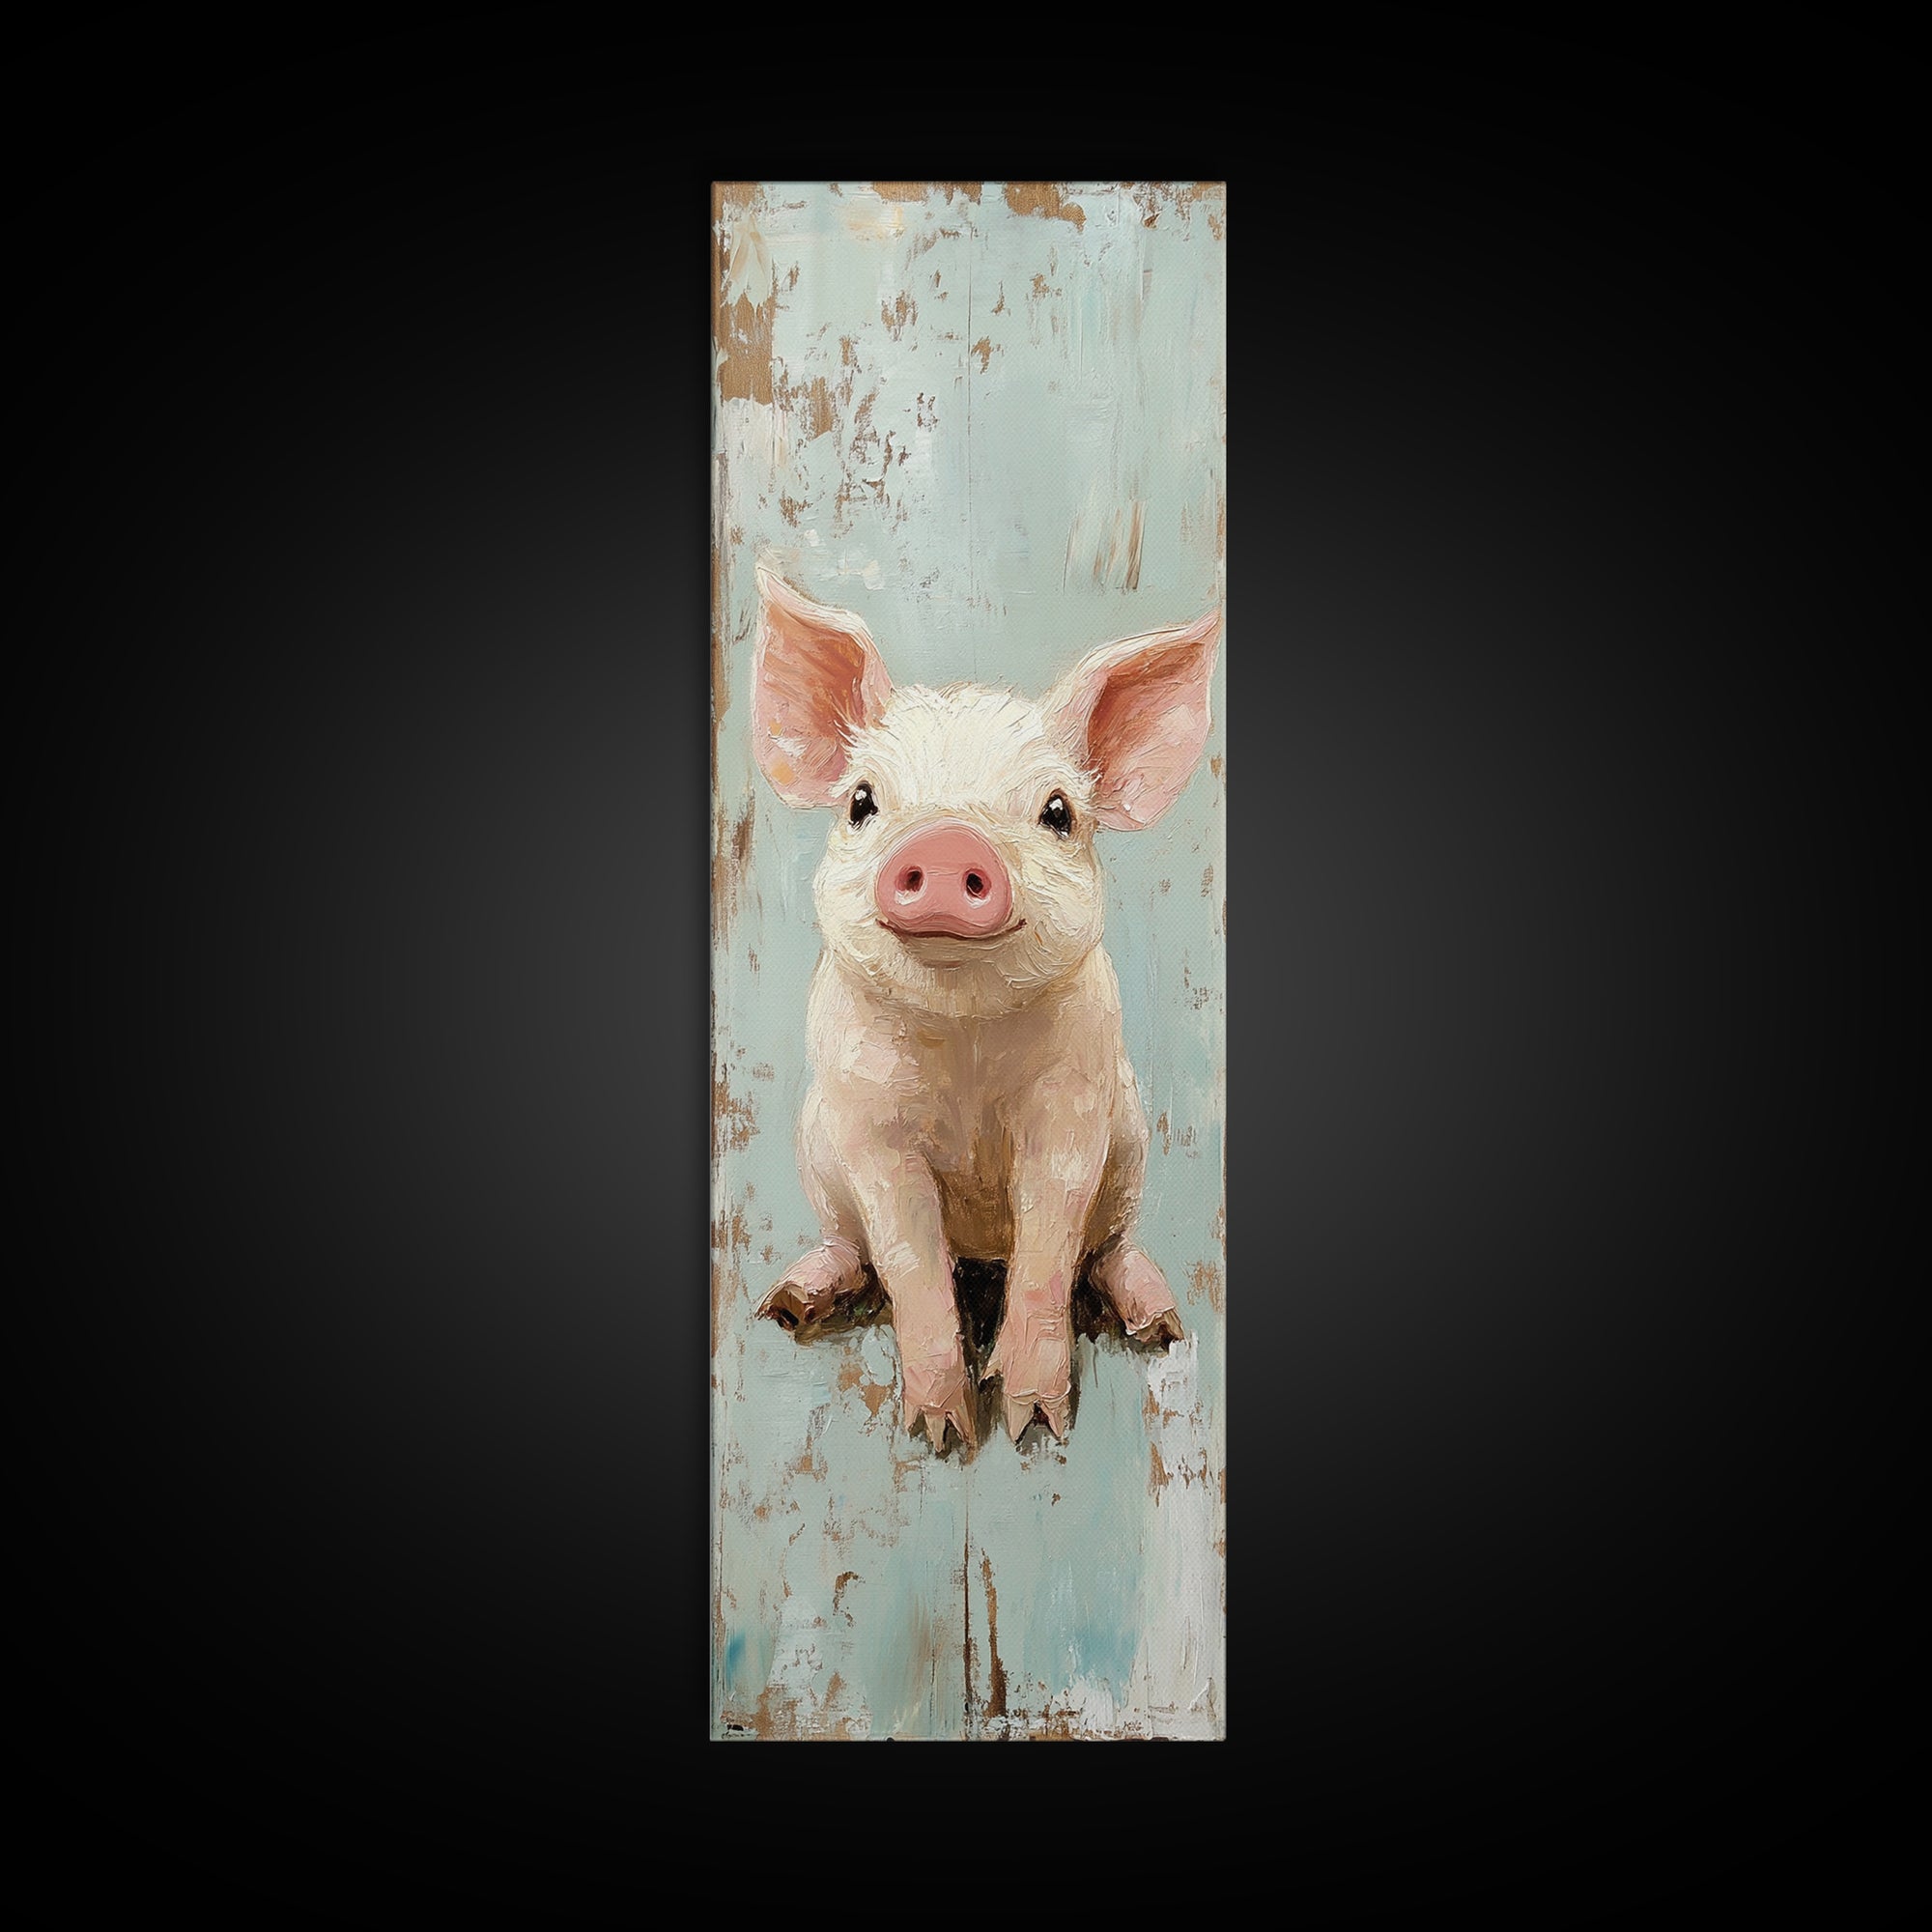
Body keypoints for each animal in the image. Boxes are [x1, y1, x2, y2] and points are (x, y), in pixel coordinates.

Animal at [750, 563, 1221, 1450]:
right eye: (862, 801)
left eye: (1058, 812)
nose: (945, 845)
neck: (961, 1035)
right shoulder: (869, 1125)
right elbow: (908, 1260)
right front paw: (942, 1435)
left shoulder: (1073, 1111)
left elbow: (1048, 1247)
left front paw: (1036, 1426)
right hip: (816, 1147)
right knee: (850, 1245)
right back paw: (789, 1304)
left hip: (1131, 1140)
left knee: (1107, 1249)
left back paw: (1161, 1323)